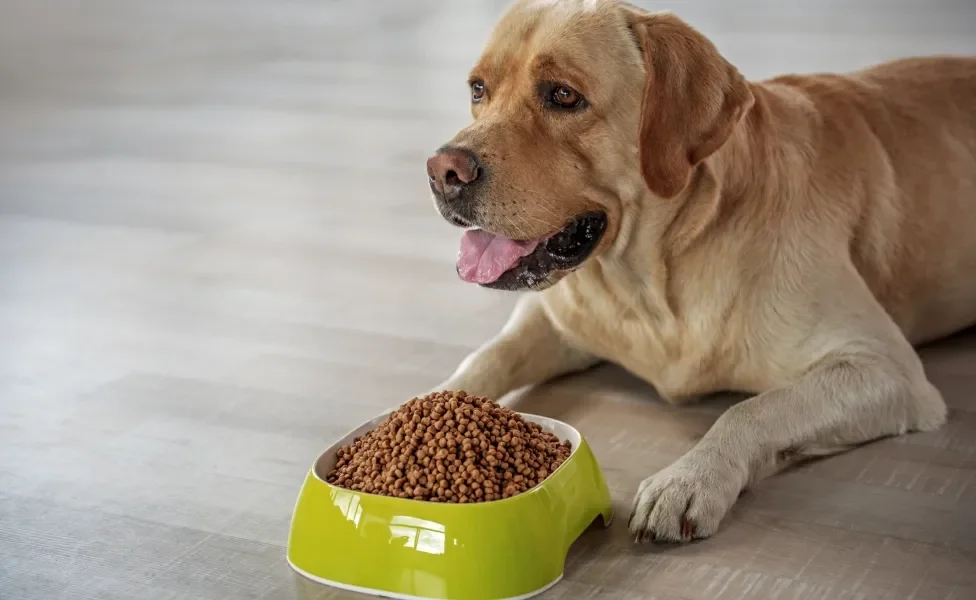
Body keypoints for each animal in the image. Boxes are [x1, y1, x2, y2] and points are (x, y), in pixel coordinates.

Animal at [426, 0, 976, 544]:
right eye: (478, 89)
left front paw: (689, 480)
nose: (442, 171)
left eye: (563, 95)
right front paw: (418, 407)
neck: (652, 279)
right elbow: (484, 359)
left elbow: (752, 409)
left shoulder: (883, 367)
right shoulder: (552, 318)